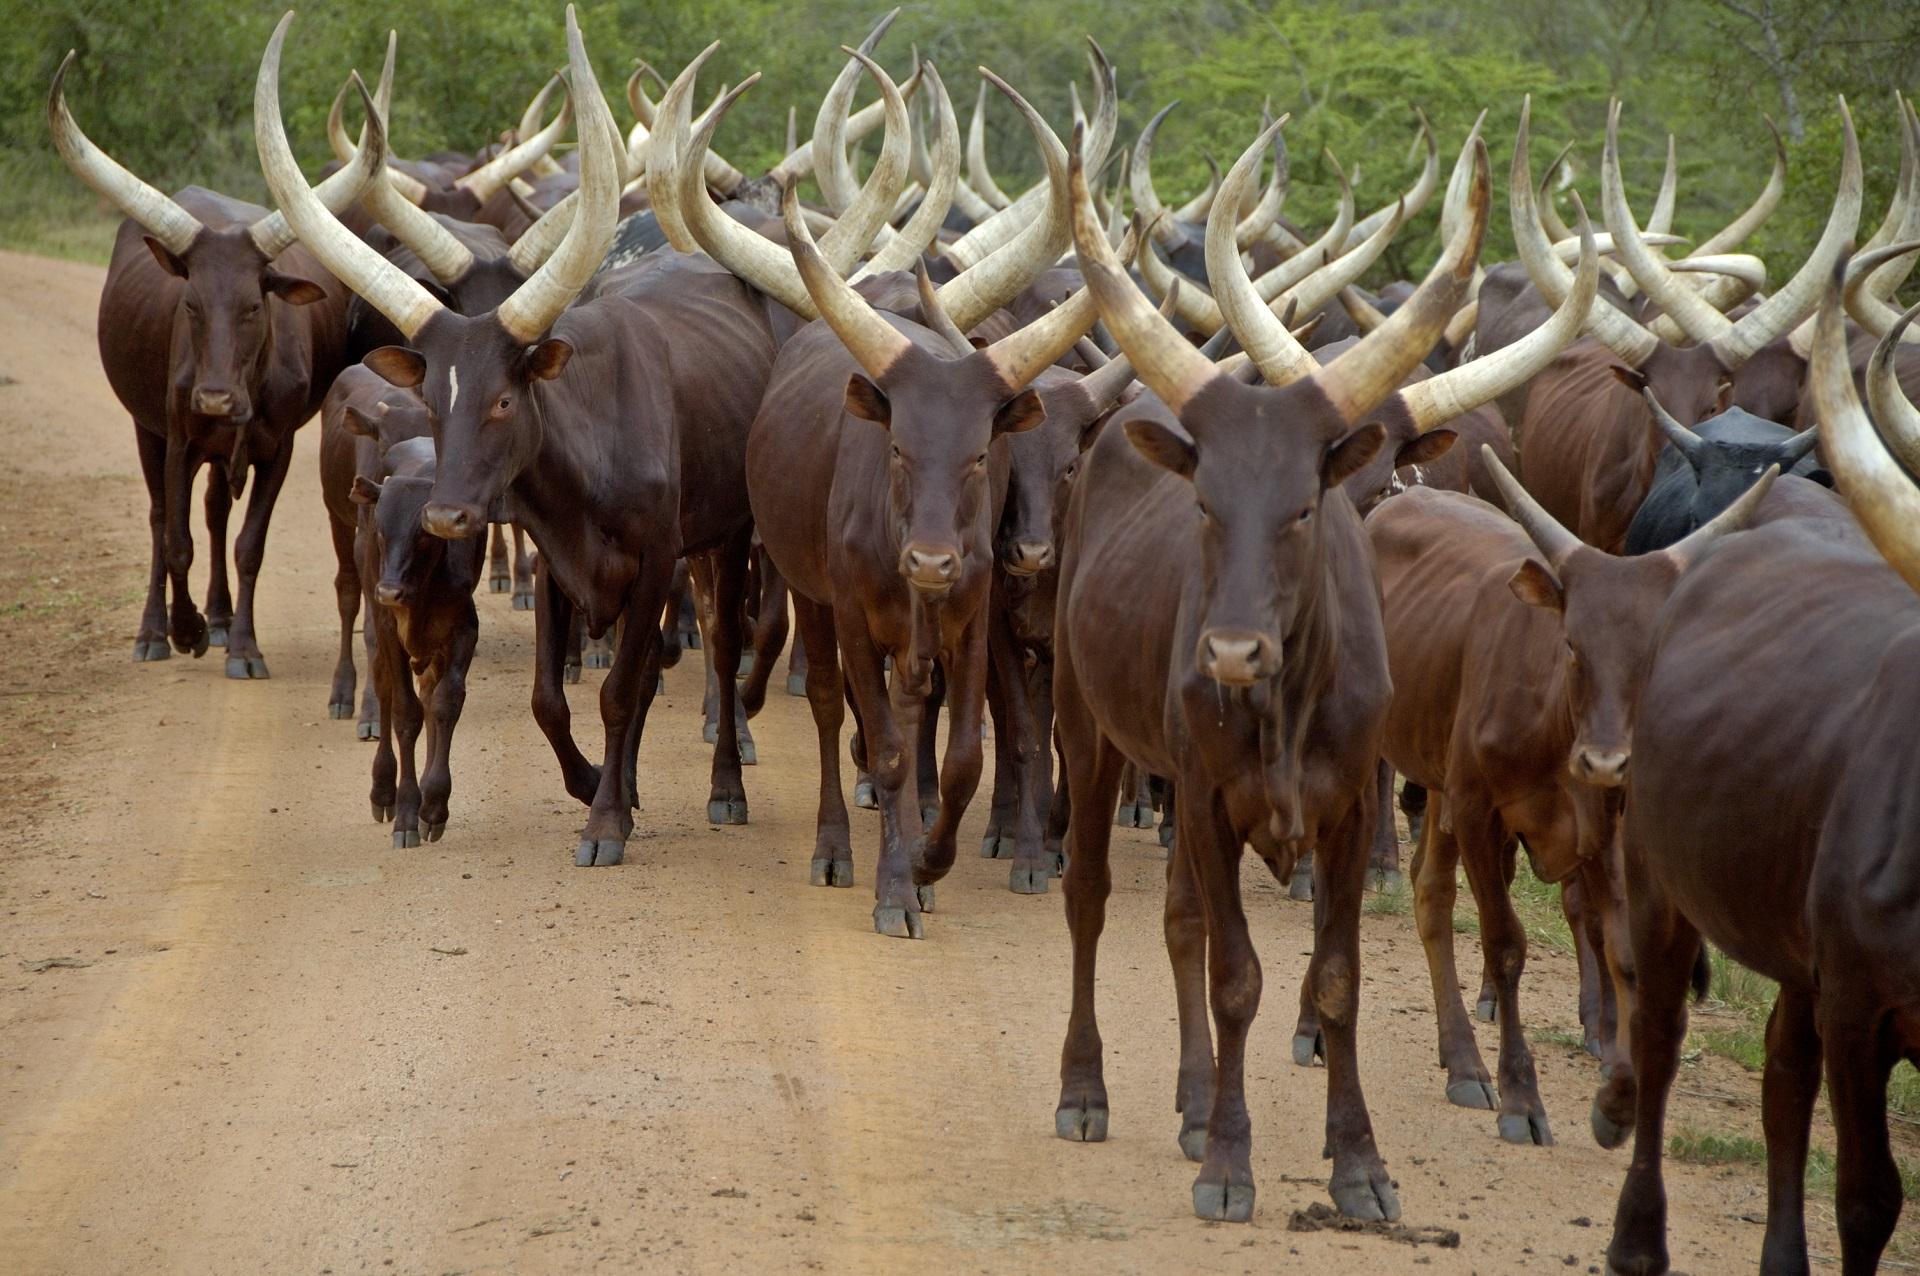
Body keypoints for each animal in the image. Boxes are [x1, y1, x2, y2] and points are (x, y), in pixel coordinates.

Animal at [49, 50, 384, 676]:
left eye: (255, 305)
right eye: (190, 304)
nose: (215, 398)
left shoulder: (278, 447)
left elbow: (249, 544)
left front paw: (245, 646)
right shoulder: (179, 436)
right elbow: (176, 541)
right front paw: (186, 629)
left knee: (214, 511)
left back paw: (224, 618)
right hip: (149, 428)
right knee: (162, 520)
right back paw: (155, 632)